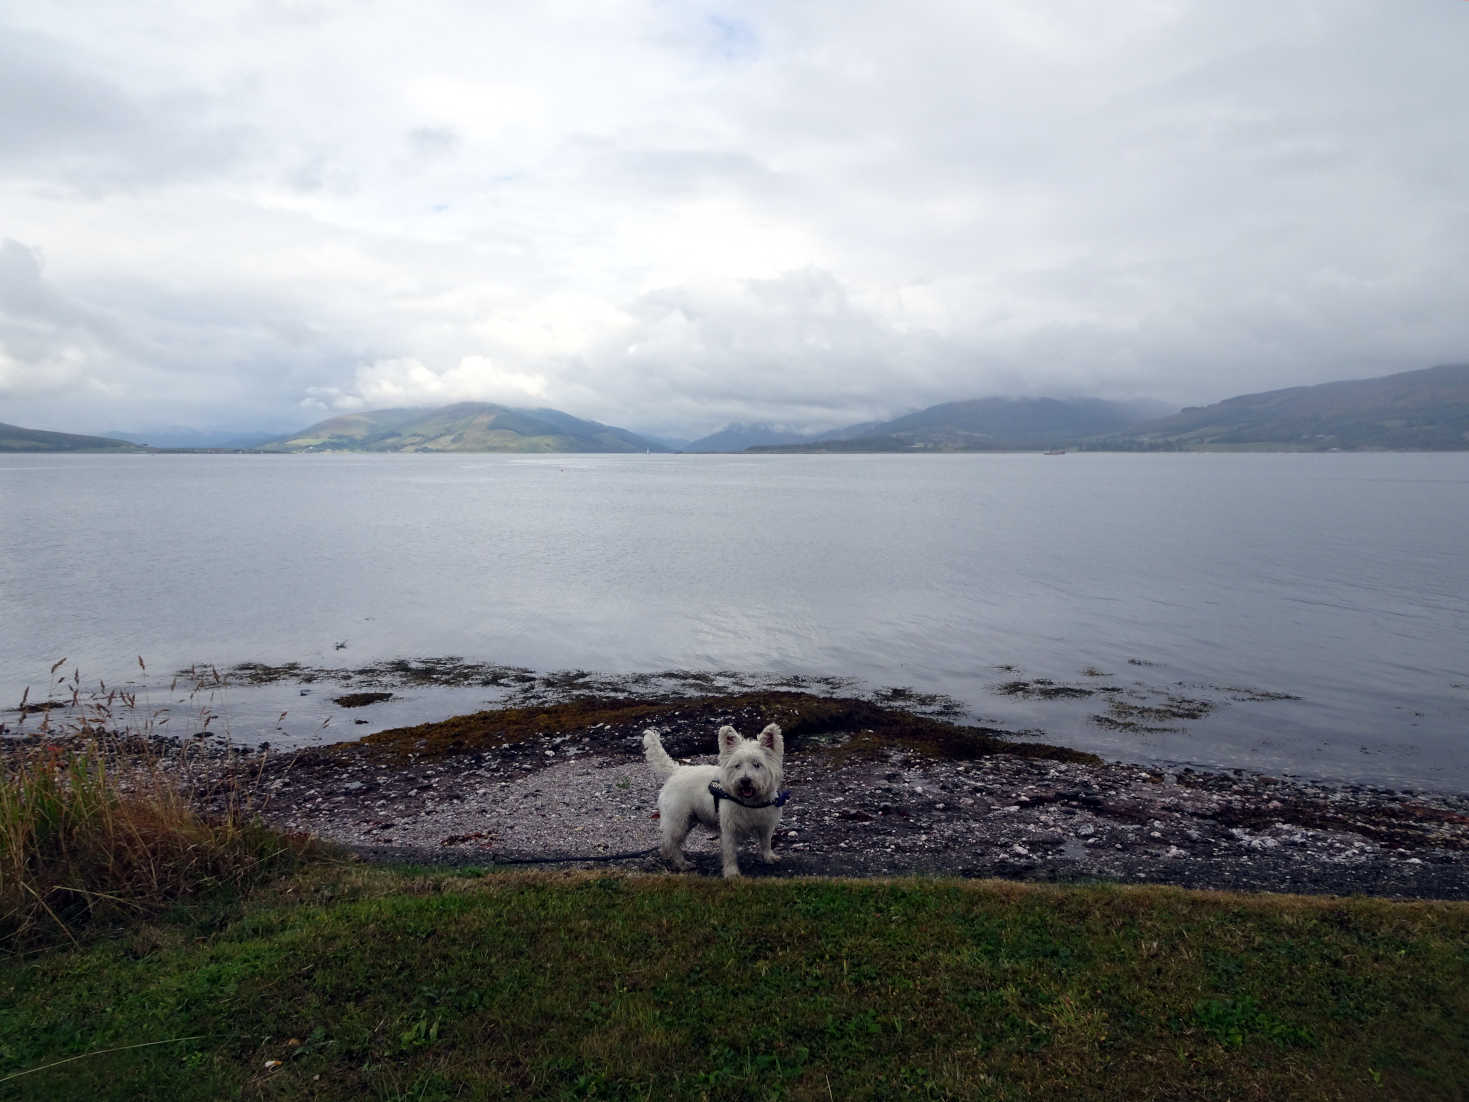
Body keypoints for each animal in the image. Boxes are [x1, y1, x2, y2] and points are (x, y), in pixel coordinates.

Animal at [640, 725, 781, 881]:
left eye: (757, 764)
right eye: (737, 765)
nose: (745, 781)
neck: (750, 803)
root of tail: (677, 770)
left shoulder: (766, 823)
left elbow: (766, 842)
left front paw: (769, 857)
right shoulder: (729, 829)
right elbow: (730, 852)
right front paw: (732, 873)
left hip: (688, 821)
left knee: (668, 842)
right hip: (678, 821)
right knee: (673, 843)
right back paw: (682, 863)